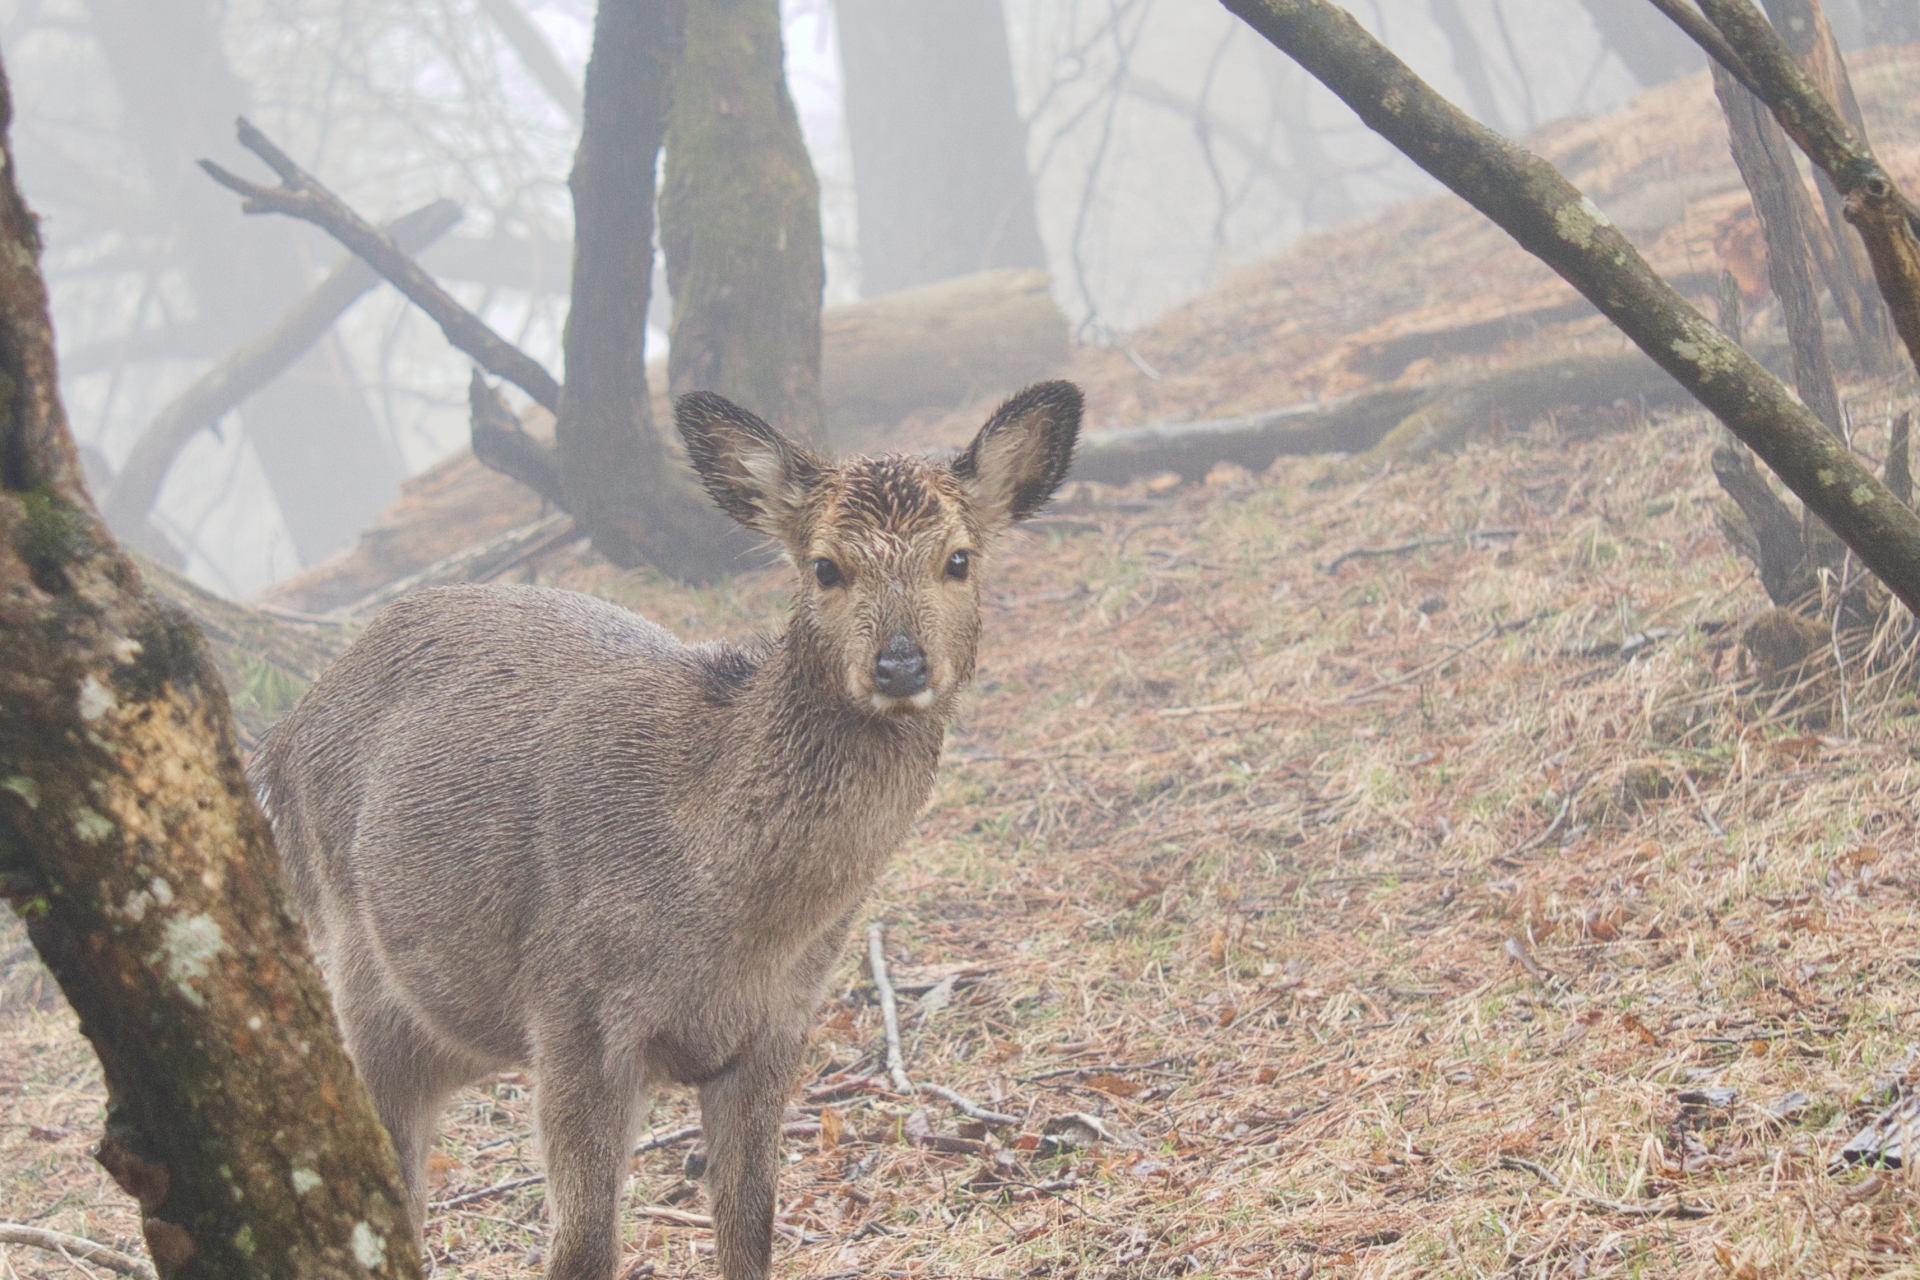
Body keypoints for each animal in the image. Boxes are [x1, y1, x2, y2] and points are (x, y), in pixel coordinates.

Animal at [247, 379, 1082, 1280]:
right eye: (824, 566)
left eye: (958, 559)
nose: (899, 663)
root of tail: (279, 737)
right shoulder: (573, 1014)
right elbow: (582, 1248)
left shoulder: (778, 1029)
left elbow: (751, 1229)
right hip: (356, 971)